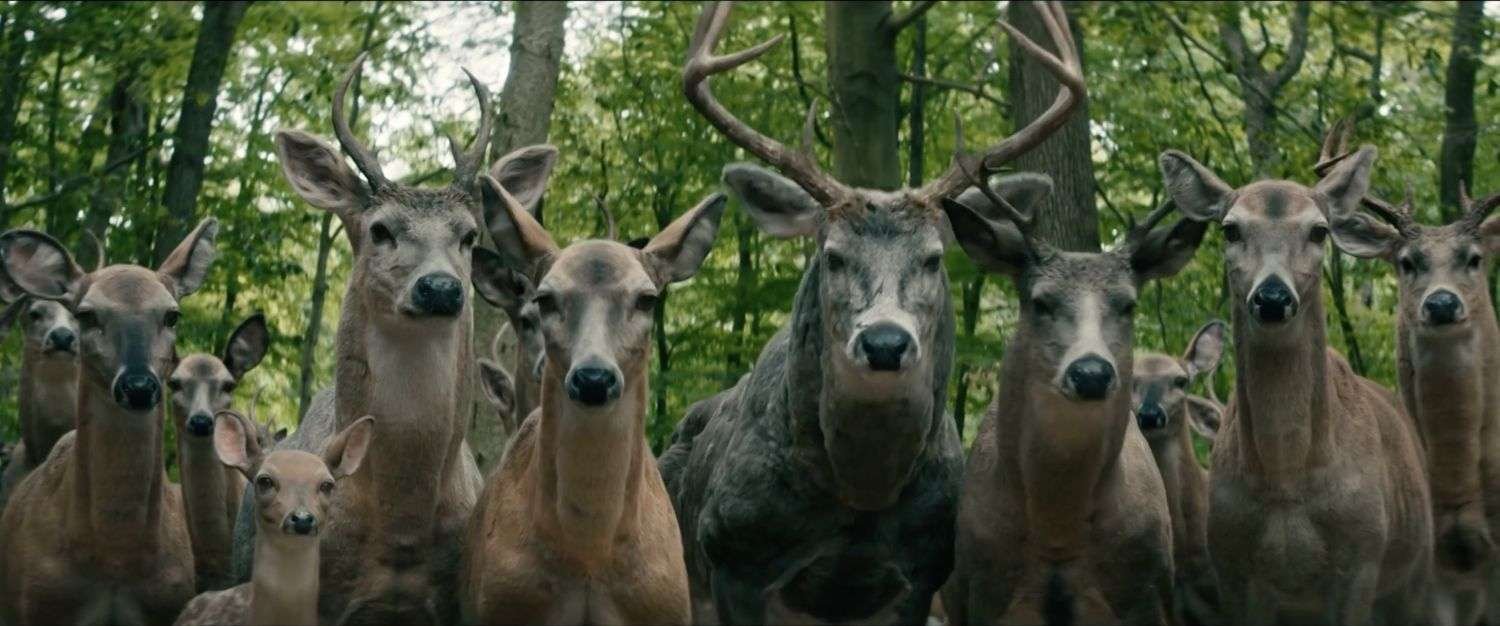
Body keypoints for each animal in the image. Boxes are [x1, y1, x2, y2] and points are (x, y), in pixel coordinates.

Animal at [655, 1, 1083, 622]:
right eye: (832, 255)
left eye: (933, 258)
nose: (885, 342)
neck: (858, 500)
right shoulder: (732, 557)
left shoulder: (922, 573)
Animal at [1159, 144, 1437, 624]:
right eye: (1230, 229)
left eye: (1319, 231)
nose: (1272, 297)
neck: (1287, 481)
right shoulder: (1231, 566)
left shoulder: (1363, 556)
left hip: (1414, 573)